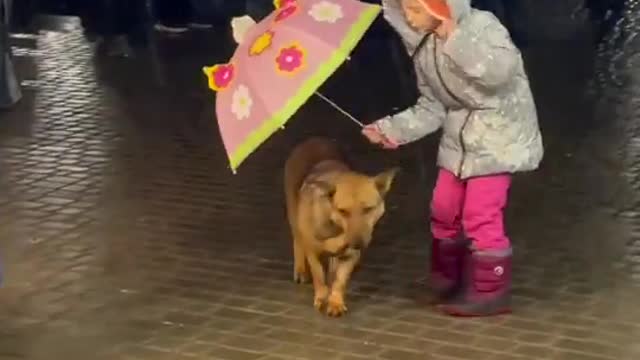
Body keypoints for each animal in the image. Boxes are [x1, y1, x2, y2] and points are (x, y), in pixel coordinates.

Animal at [284, 136, 398, 316]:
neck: (336, 227)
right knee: (298, 240)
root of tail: (315, 139)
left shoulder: (351, 256)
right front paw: (321, 297)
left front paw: (335, 302)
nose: (358, 242)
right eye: (343, 211)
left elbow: (340, 280)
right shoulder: (313, 252)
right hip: (293, 213)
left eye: (368, 209)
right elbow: (318, 276)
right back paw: (301, 270)